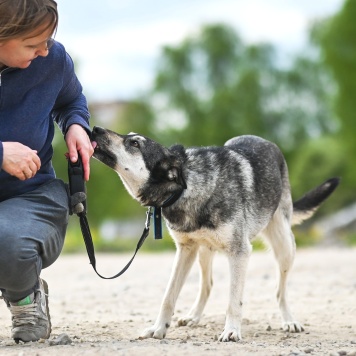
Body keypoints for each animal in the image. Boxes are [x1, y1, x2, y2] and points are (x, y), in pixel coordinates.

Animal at [91, 127, 340, 342]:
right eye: (130, 137)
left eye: (134, 143)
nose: (95, 129)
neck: (189, 186)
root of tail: (266, 142)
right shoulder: (185, 251)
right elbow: (168, 297)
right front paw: (158, 329)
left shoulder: (240, 253)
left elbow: (233, 301)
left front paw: (231, 331)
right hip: (204, 252)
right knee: (208, 284)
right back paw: (194, 316)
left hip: (284, 246)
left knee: (281, 291)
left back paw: (289, 320)